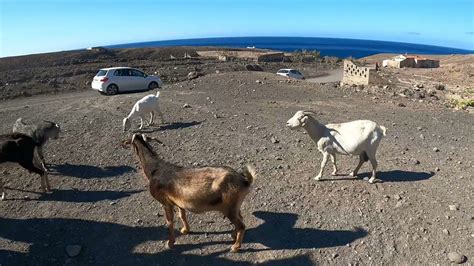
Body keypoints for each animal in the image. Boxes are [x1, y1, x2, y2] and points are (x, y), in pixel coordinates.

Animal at [124, 134, 254, 252]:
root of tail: (245, 181)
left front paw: (170, 243)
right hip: (235, 207)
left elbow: (169, 222)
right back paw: (233, 235)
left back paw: (235, 247)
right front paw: (185, 230)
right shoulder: (179, 201)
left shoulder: (166, 203)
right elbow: (182, 215)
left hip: (229, 209)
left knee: (241, 225)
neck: (156, 169)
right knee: (240, 219)